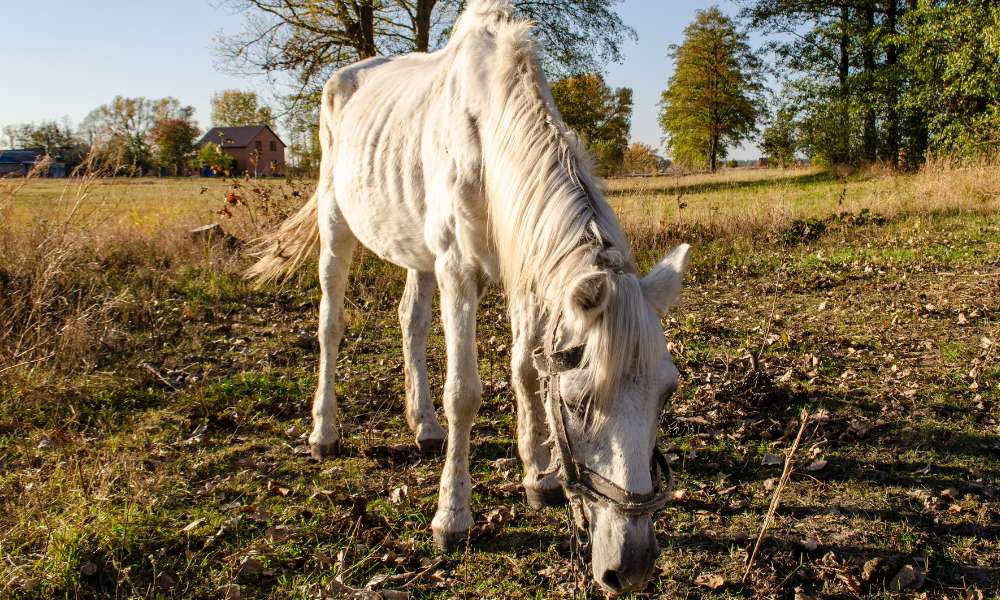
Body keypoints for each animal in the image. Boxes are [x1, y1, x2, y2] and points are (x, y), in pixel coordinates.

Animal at [247, 0, 691, 593]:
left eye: (667, 392)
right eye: (578, 401)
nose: (634, 565)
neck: (490, 133)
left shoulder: (525, 270)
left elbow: (525, 369)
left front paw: (538, 476)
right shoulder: (458, 271)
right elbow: (465, 392)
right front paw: (451, 518)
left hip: (416, 250)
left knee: (410, 321)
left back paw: (425, 428)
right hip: (336, 223)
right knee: (330, 327)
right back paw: (325, 433)